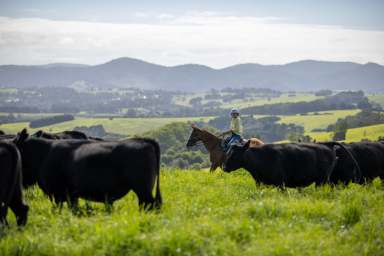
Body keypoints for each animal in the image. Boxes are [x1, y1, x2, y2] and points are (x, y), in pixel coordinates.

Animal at [14, 128, 161, 210]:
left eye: (14, 144)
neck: (44, 153)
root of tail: (145, 140)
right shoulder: (71, 195)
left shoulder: (58, 193)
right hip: (142, 190)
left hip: (142, 188)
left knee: (150, 204)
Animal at [224, 142, 356, 188]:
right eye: (228, 152)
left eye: (234, 154)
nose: (224, 167)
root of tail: (327, 145)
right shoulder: (259, 183)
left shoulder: (280, 183)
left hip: (322, 180)